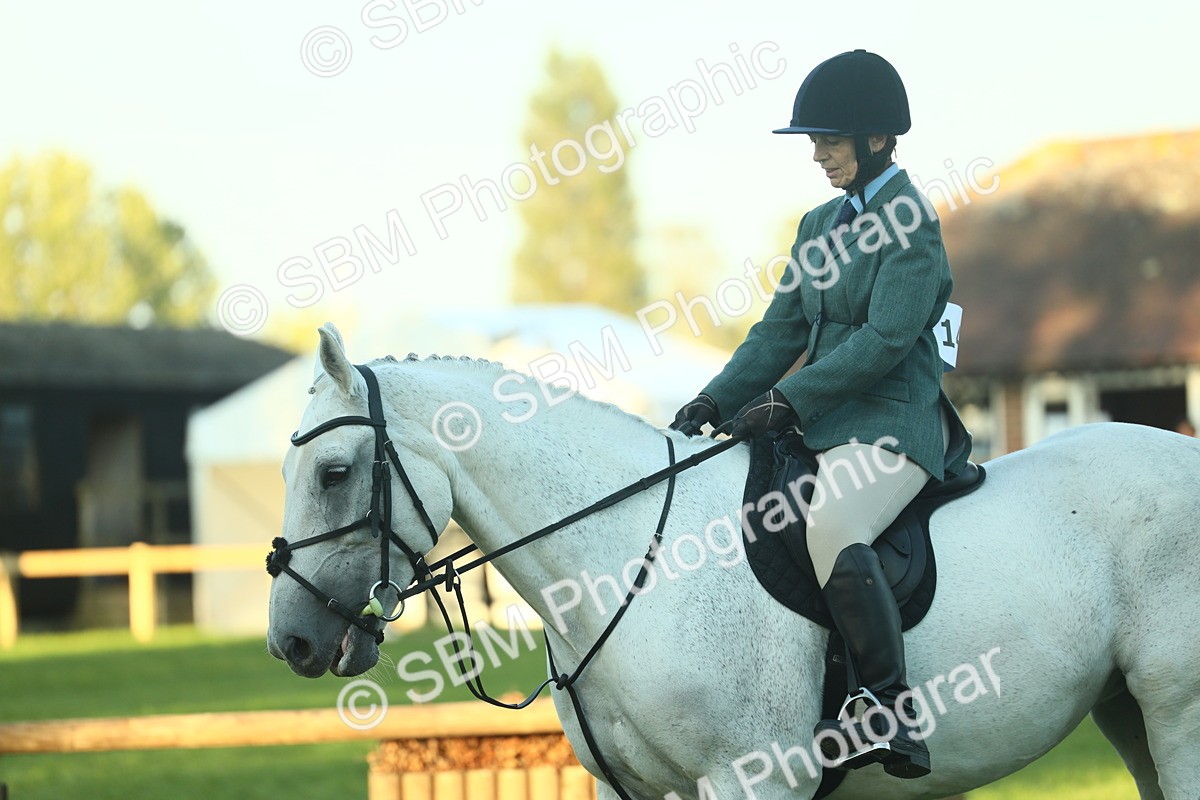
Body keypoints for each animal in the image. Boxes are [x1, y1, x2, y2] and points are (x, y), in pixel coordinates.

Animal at [267, 323, 1200, 800]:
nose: (292, 644)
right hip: (1126, 713)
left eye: (335, 472)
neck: (626, 564)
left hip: (1176, 710)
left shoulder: (754, 780)